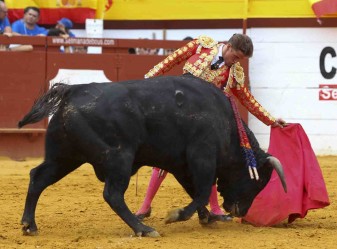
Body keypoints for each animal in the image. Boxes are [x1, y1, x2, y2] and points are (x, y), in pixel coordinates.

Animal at [18, 74, 284, 237]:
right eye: (258, 181)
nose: (240, 212)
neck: (225, 122)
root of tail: (73, 91)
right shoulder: (202, 156)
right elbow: (200, 191)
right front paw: (177, 215)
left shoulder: (181, 164)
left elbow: (195, 191)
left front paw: (206, 217)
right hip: (118, 158)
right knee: (113, 195)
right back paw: (144, 229)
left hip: (64, 157)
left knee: (38, 177)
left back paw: (29, 225)